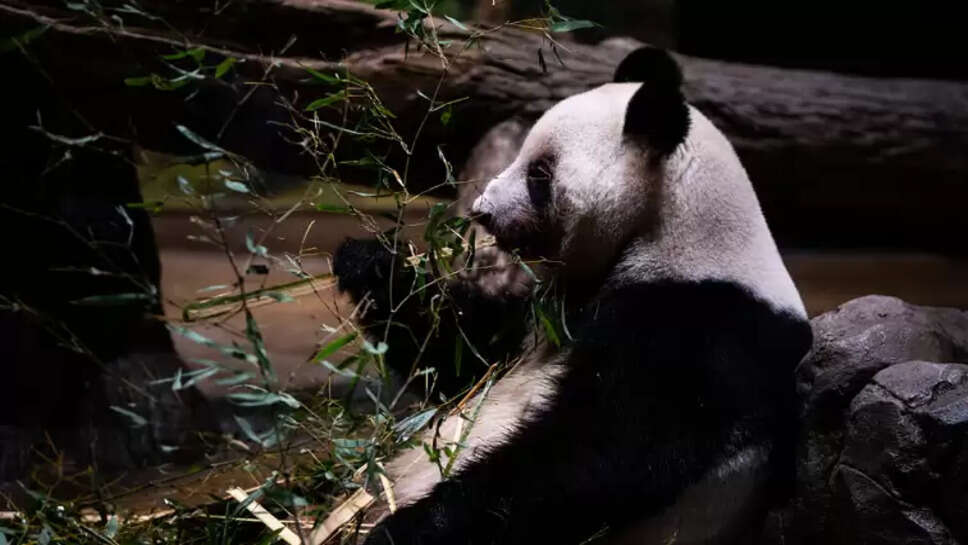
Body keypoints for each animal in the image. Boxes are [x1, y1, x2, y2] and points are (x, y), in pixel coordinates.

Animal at [332, 46, 812, 545]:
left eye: (539, 173)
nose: (483, 212)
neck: (675, 232)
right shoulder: (548, 309)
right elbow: (467, 356)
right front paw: (372, 265)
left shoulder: (701, 325)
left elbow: (601, 453)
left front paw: (407, 527)